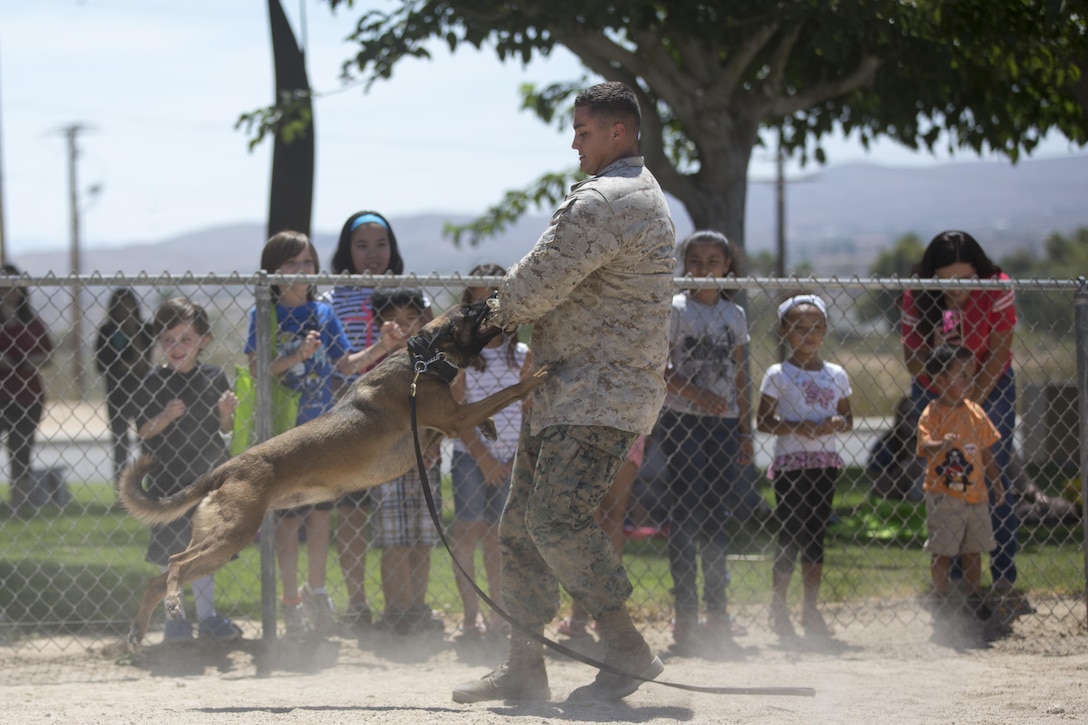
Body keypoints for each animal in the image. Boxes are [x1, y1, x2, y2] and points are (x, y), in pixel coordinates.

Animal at [119, 296, 548, 653]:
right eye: (470, 311)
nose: (494, 294)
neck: (420, 362)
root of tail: (228, 467)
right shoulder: (455, 419)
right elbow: (505, 392)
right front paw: (538, 375)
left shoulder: (448, 423)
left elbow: (486, 407)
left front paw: (492, 425)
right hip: (232, 535)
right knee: (175, 563)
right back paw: (169, 604)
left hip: (220, 546)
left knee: (161, 575)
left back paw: (138, 631)